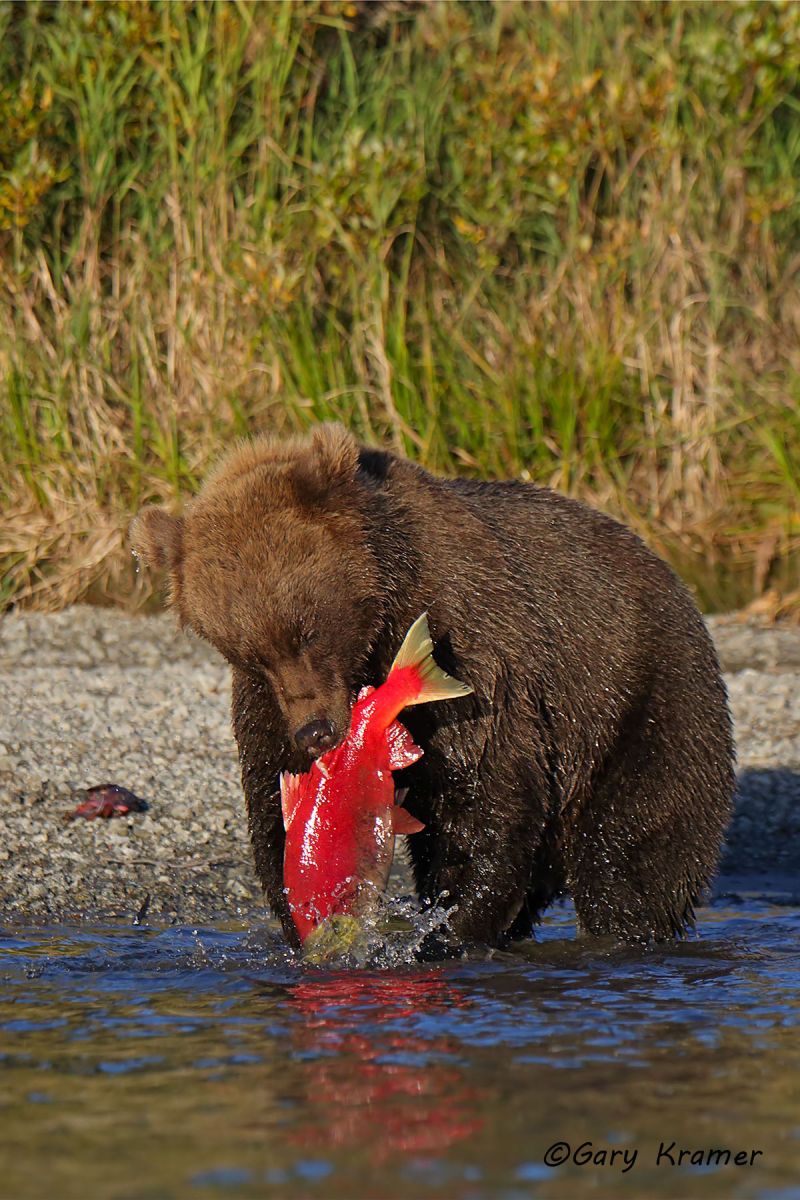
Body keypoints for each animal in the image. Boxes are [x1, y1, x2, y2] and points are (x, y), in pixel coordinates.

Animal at [130, 423, 735, 949]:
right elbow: (273, 792)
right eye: (249, 652)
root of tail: (670, 574)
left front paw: (448, 926)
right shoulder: (267, 703)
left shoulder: (474, 636)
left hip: (642, 700)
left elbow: (481, 788)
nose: (318, 732)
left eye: (307, 631)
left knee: (631, 854)